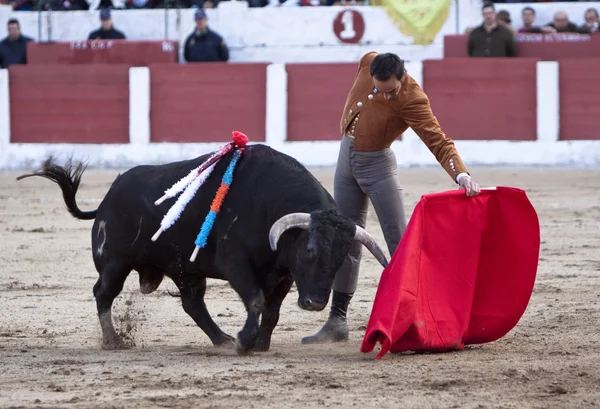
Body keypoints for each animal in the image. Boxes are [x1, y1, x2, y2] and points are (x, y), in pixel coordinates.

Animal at [17, 143, 390, 354]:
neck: (267, 202)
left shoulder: (284, 275)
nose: (314, 303)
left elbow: (271, 310)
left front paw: (259, 343)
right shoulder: (236, 263)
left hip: (185, 268)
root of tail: (106, 199)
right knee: (103, 294)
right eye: (310, 251)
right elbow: (256, 300)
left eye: (340, 258)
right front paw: (245, 341)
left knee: (192, 303)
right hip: (115, 263)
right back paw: (113, 341)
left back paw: (221, 339)